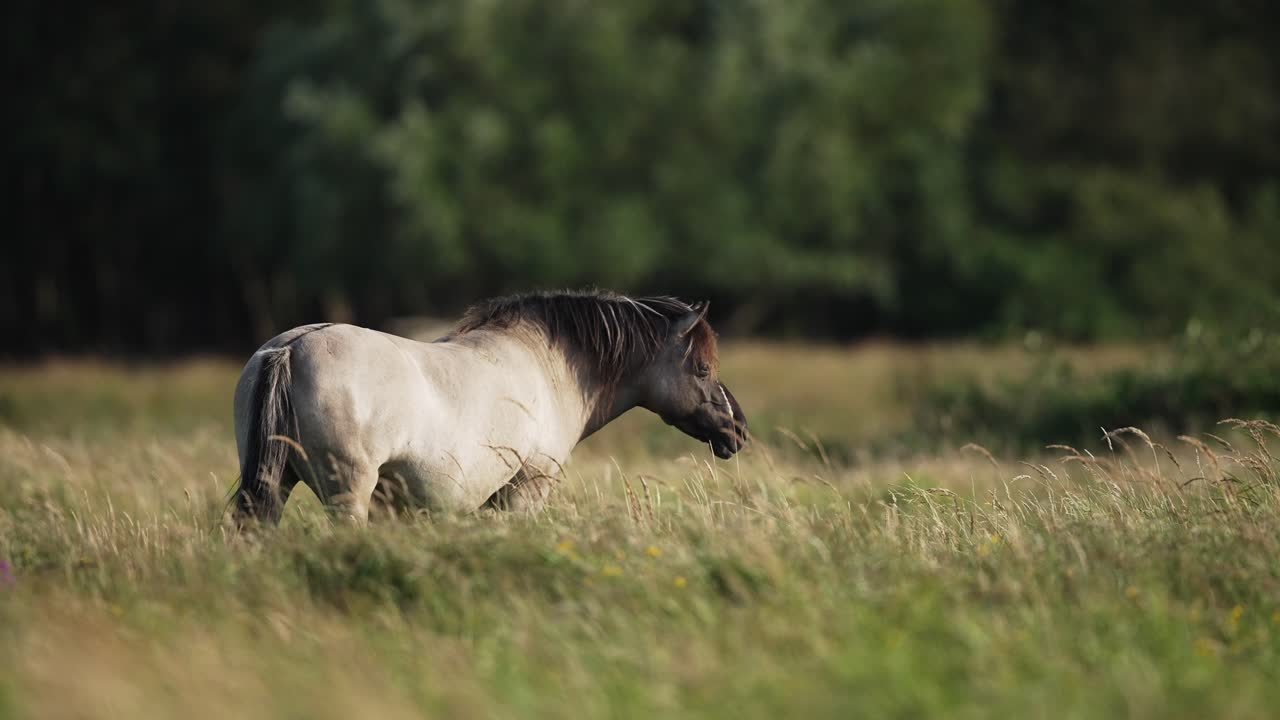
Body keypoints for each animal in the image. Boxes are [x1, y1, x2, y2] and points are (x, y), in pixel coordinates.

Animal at [227, 290, 749, 526]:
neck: (548, 365)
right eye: (702, 368)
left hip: (276, 483)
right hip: (347, 496)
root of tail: (290, 348)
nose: (738, 430)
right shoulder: (526, 490)